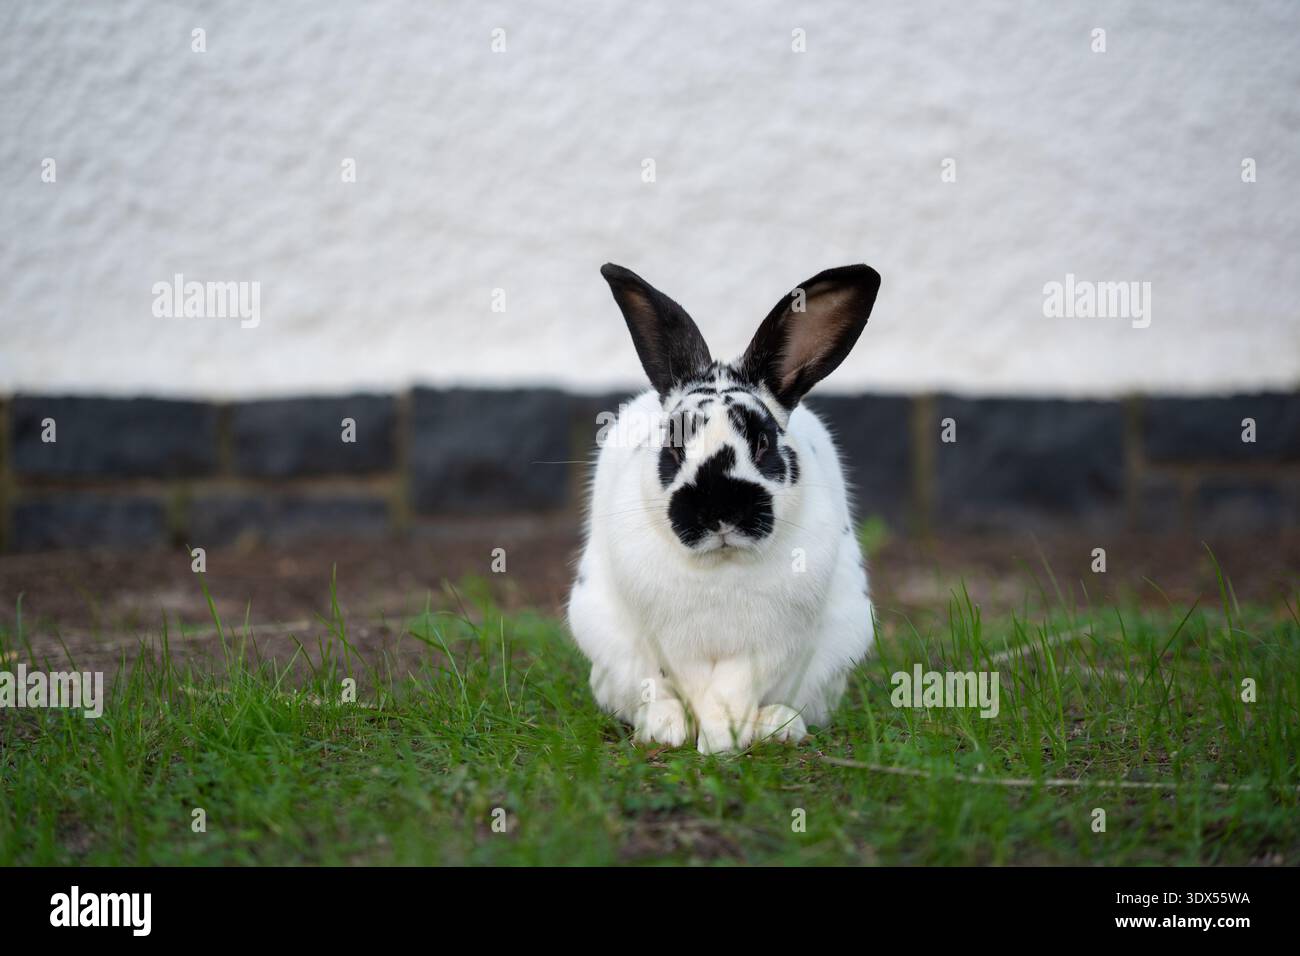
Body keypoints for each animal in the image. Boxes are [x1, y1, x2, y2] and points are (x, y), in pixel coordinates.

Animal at [568, 262, 881, 753]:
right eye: (673, 448)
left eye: (763, 442)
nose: (719, 510)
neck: (722, 565)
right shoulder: (674, 643)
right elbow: (694, 686)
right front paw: (708, 741)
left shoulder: (768, 644)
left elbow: (732, 690)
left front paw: (721, 743)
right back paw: (663, 727)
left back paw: (779, 726)